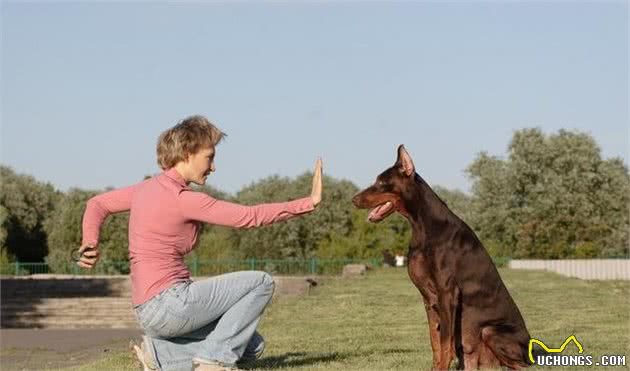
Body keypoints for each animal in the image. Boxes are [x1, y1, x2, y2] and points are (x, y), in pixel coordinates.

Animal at [354, 146, 536, 371]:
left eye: (381, 182)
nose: (353, 199)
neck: (422, 226)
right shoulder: (428, 298)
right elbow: (435, 341)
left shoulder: (447, 293)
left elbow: (445, 343)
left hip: (491, 331)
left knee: (522, 366)